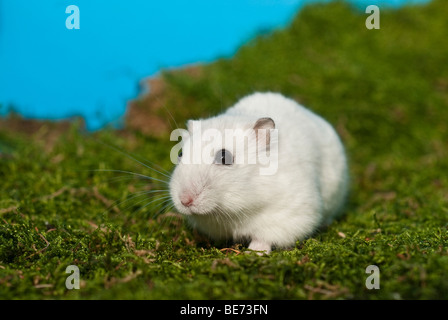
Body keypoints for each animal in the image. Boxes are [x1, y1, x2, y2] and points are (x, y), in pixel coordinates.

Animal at [170, 91, 348, 254]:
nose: (184, 201)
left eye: (224, 157)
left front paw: (254, 253)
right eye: (180, 153)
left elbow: (263, 238)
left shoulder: (289, 213)